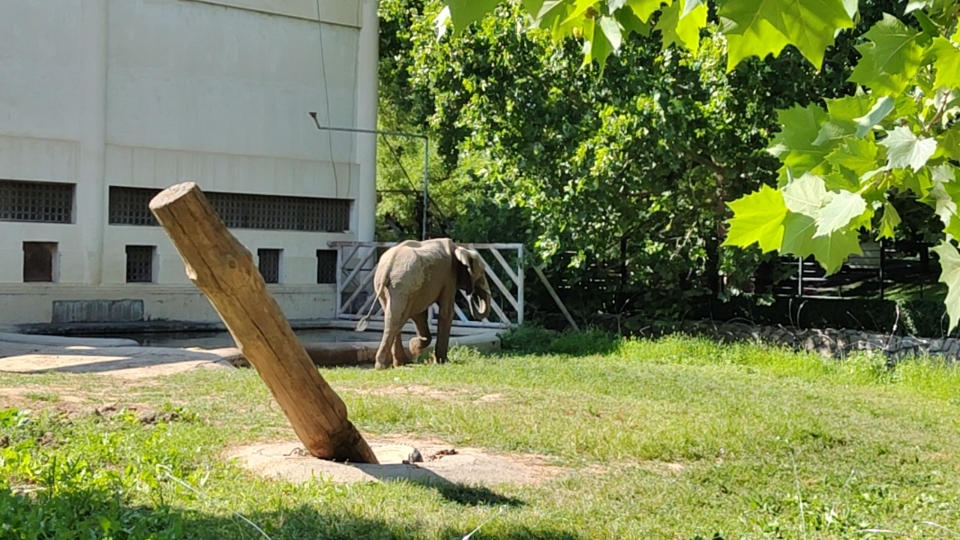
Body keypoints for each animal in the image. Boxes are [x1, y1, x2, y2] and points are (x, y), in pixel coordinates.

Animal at [356, 238, 492, 370]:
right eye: (482, 272)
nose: (472, 294)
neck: (460, 249)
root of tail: (388, 267)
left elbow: (419, 315)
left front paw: (414, 347)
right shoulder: (449, 277)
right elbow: (446, 312)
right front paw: (442, 361)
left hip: (390, 286)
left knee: (393, 318)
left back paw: (400, 363)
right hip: (403, 284)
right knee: (398, 320)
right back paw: (386, 365)